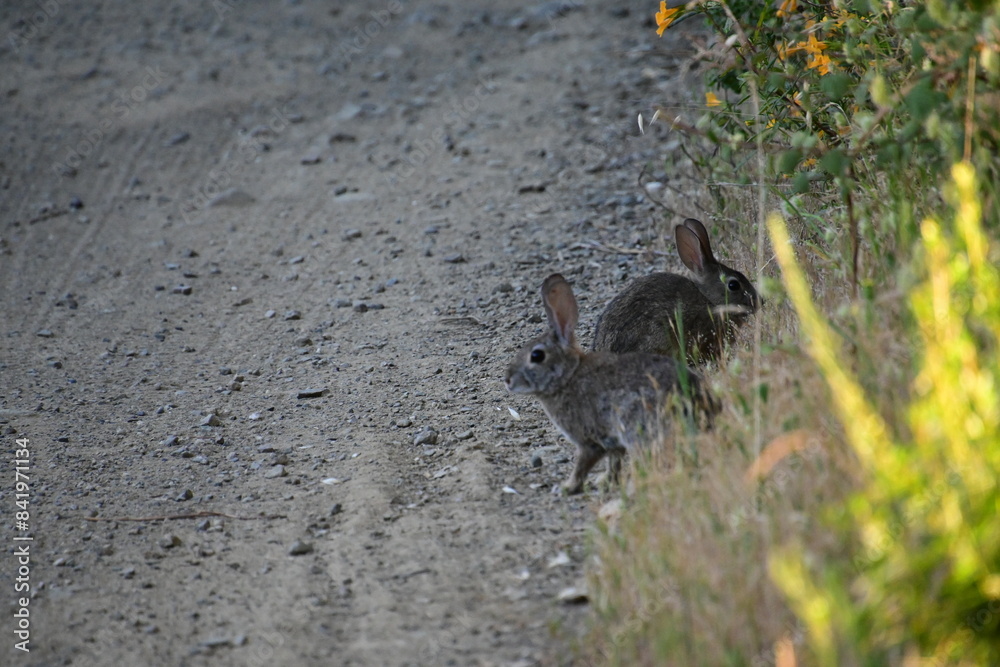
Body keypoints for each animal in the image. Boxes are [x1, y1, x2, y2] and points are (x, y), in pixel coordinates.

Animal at [505, 273, 719, 494]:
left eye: (537, 356)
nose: (508, 380)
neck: (567, 377)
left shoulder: (590, 440)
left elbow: (582, 465)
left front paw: (567, 487)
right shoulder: (613, 442)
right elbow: (614, 462)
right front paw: (606, 481)